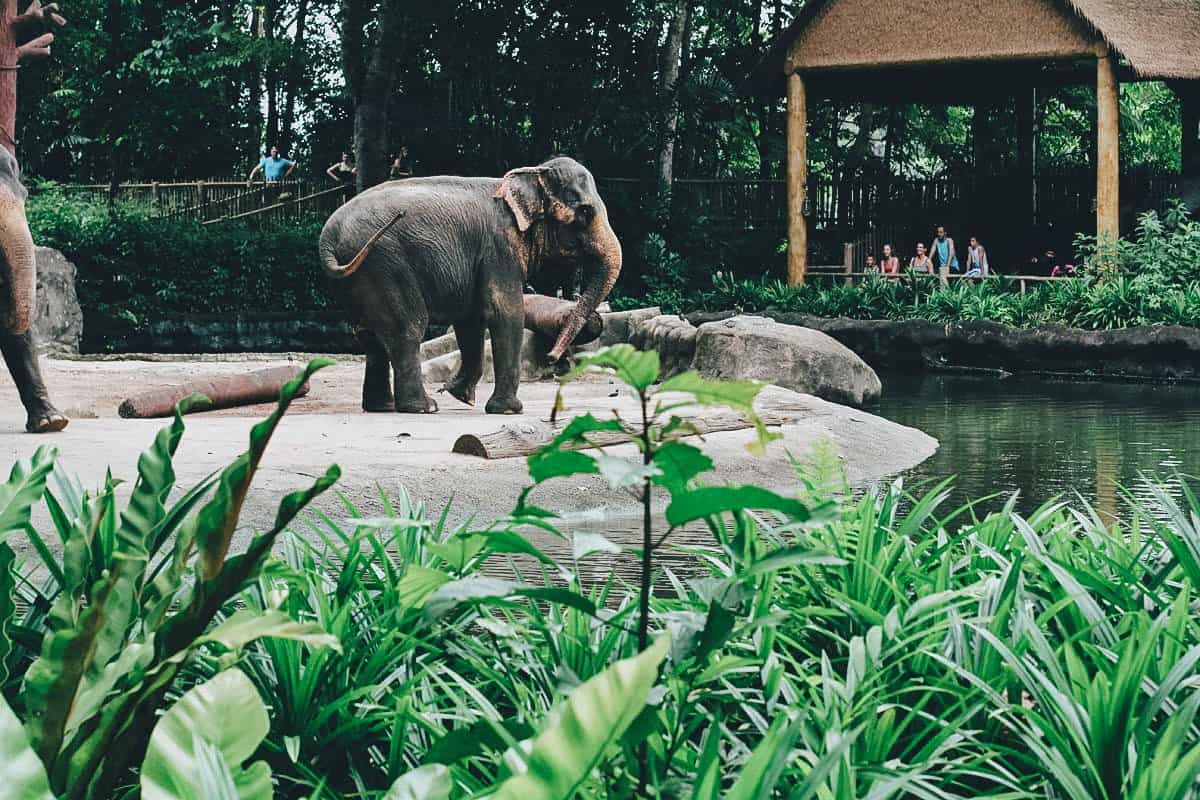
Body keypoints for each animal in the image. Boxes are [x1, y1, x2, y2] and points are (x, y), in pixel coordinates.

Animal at [314, 158, 624, 417]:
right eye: (585, 212)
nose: (551, 357)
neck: (531, 173)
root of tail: (327, 238)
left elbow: (471, 319)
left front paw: (460, 396)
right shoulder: (500, 248)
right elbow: (504, 312)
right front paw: (509, 410)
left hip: (358, 277)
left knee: (369, 335)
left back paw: (383, 407)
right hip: (385, 264)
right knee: (408, 328)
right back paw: (424, 407)